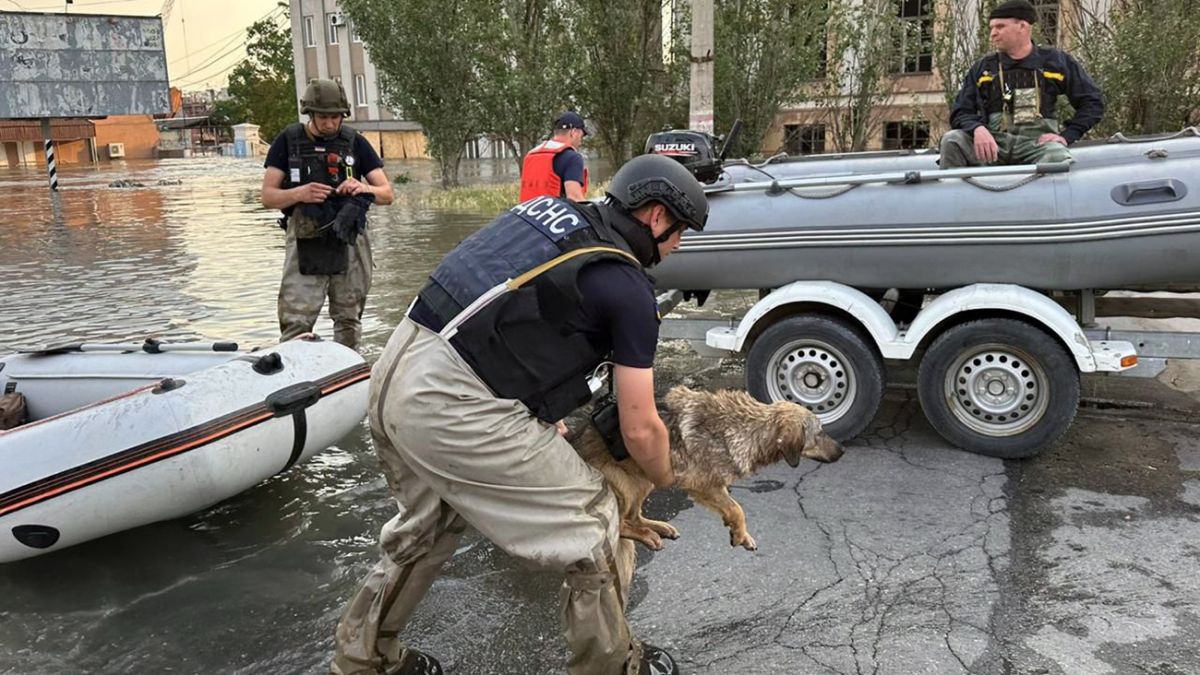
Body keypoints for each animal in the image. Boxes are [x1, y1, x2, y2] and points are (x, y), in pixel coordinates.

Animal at [571, 386, 844, 550]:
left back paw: (658, 527)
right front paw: (740, 535)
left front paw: (740, 534)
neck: (747, 428)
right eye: (819, 433)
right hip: (626, 486)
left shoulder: (716, 487)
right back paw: (647, 535)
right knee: (621, 524)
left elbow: (733, 508)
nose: (842, 451)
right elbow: (737, 509)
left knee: (633, 516)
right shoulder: (703, 485)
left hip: (645, 479)